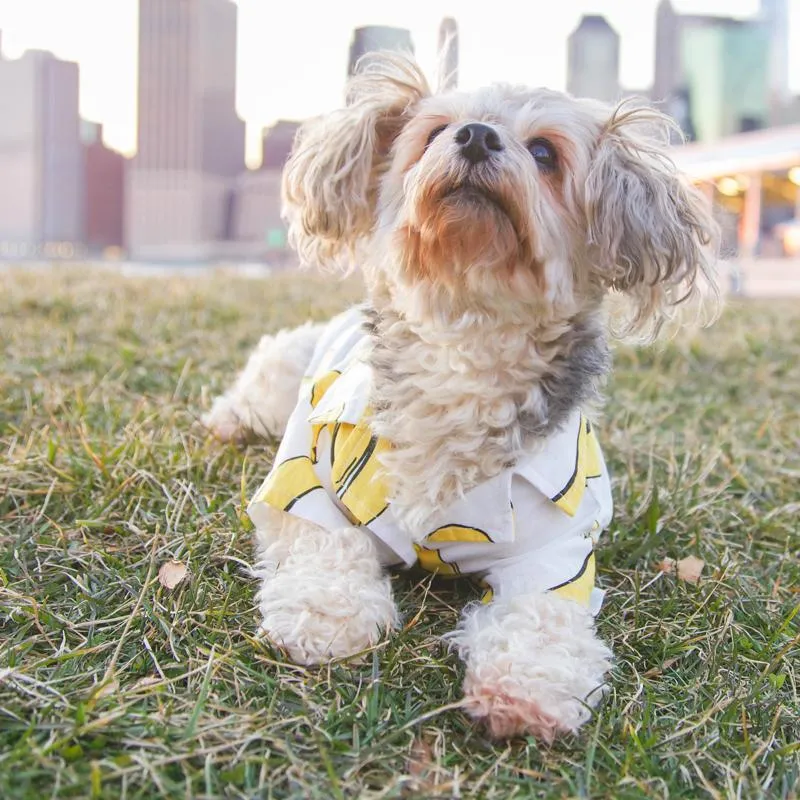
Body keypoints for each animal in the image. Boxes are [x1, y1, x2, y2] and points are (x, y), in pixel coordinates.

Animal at [206, 54, 720, 744]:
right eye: (434, 132)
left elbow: (540, 616)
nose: (476, 136)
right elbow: (325, 543)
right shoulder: (303, 478)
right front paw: (324, 615)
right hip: (285, 371)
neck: (465, 334)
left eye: (544, 152)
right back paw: (230, 419)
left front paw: (527, 684)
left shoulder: (557, 550)